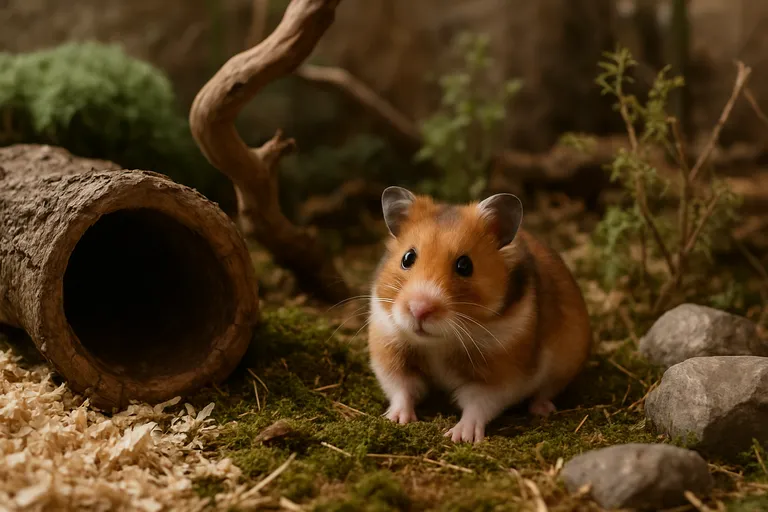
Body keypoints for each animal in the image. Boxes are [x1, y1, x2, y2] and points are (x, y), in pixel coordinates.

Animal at [367, 187, 592, 443]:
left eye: (465, 265)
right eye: (407, 258)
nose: (419, 310)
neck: (439, 342)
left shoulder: (498, 376)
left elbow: (478, 405)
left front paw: (459, 436)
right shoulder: (389, 352)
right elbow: (402, 389)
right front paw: (395, 420)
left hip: (565, 363)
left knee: (545, 391)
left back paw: (542, 409)